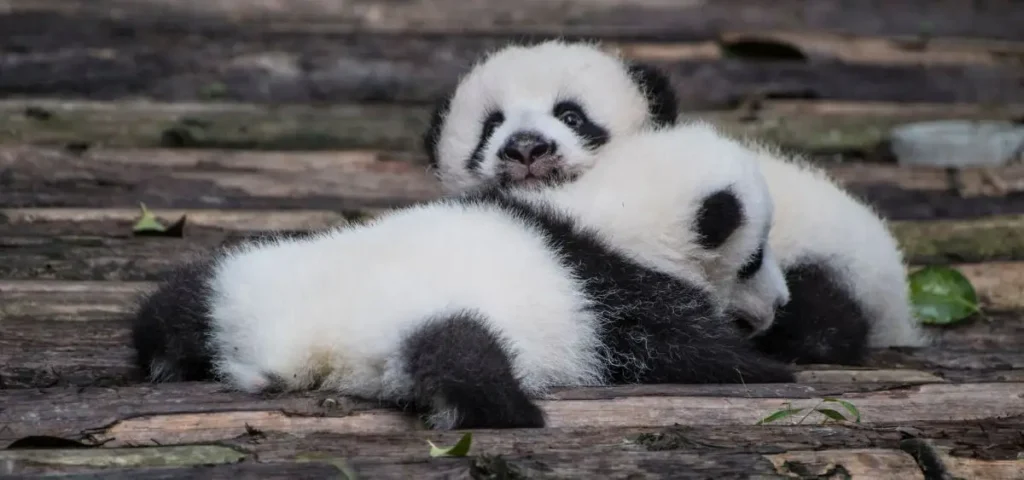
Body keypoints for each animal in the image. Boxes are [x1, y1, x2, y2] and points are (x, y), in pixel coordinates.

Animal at [131, 125, 794, 431]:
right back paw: (508, 411)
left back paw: (163, 351)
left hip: (261, 273)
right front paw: (771, 369)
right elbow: (687, 349)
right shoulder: (620, 294)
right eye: (755, 257)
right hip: (411, 325)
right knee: (462, 355)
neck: (607, 209)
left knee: (181, 297)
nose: (783, 303)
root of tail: (293, 348)